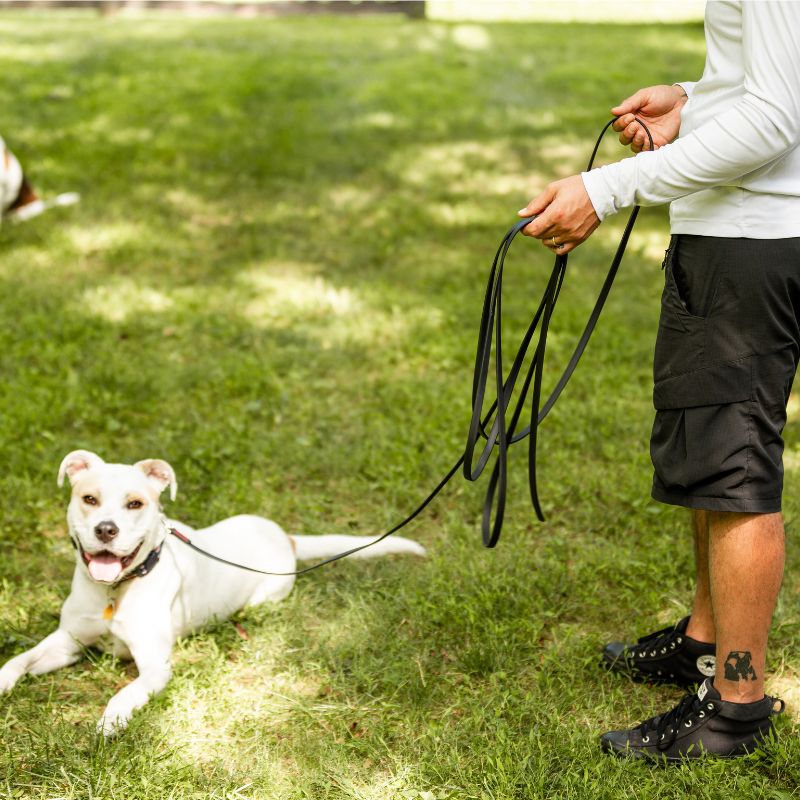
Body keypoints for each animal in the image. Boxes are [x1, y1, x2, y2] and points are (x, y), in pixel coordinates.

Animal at [0, 446, 424, 736]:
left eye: (135, 503)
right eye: (89, 499)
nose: (106, 529)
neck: (115, 591)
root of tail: (286, 537)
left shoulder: (155, 668)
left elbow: (126, 692)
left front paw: (112, 719)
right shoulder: (67, 642)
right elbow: (19, 660)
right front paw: (4, 681)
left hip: (263, 597)